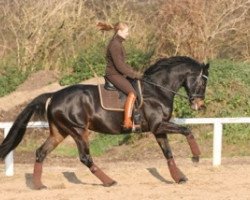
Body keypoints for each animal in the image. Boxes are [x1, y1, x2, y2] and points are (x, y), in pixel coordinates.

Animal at [0, 55, 209, 189]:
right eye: (203, 82)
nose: (199, 105)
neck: (157, 90)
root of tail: (54, 95)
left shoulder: (158, 129)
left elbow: (168, 153)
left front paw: (179, 177)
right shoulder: (158, 126)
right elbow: (187, 130)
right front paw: (196, 157)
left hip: (60, 132)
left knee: (41, 152)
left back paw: (38, 185)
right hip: (78, 131)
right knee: (85, 157)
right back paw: (109, 181)